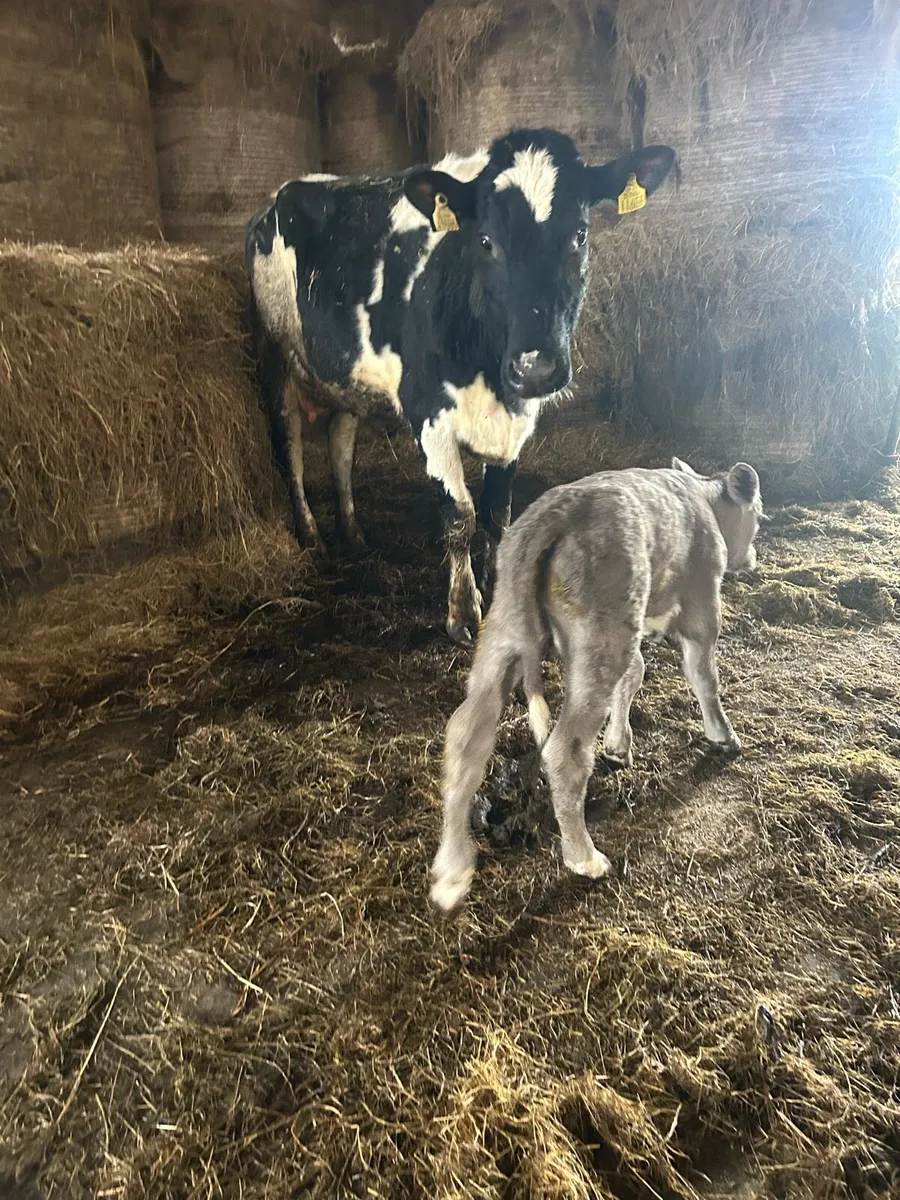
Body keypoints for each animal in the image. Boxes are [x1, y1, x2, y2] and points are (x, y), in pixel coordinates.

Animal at [245, 128, 676, 644]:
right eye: (485, 240)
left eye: (580, 234)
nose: (535, 367)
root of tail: (284, 193)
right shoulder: (427, 413)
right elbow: (460, 516)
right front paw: (463, 613)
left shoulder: (516, 420)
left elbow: (498, 514)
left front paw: (498, 587)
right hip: (273, 360)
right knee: (288, 447)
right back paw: (310, 535)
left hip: (344, 374)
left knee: (340, 442)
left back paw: (351, 532)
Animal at [429, 457, 765, 912]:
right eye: (758, 516)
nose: (751, 558)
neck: (701, 498)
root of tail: (551, 519)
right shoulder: (701, 603)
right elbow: (703, 675)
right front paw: (723, 735)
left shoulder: (635, 626)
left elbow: (634, 675)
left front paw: (618, 744)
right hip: (602, 634)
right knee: (565, 749)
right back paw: (583, 857)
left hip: (506, 634)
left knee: (466, 737)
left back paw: (451, 870)